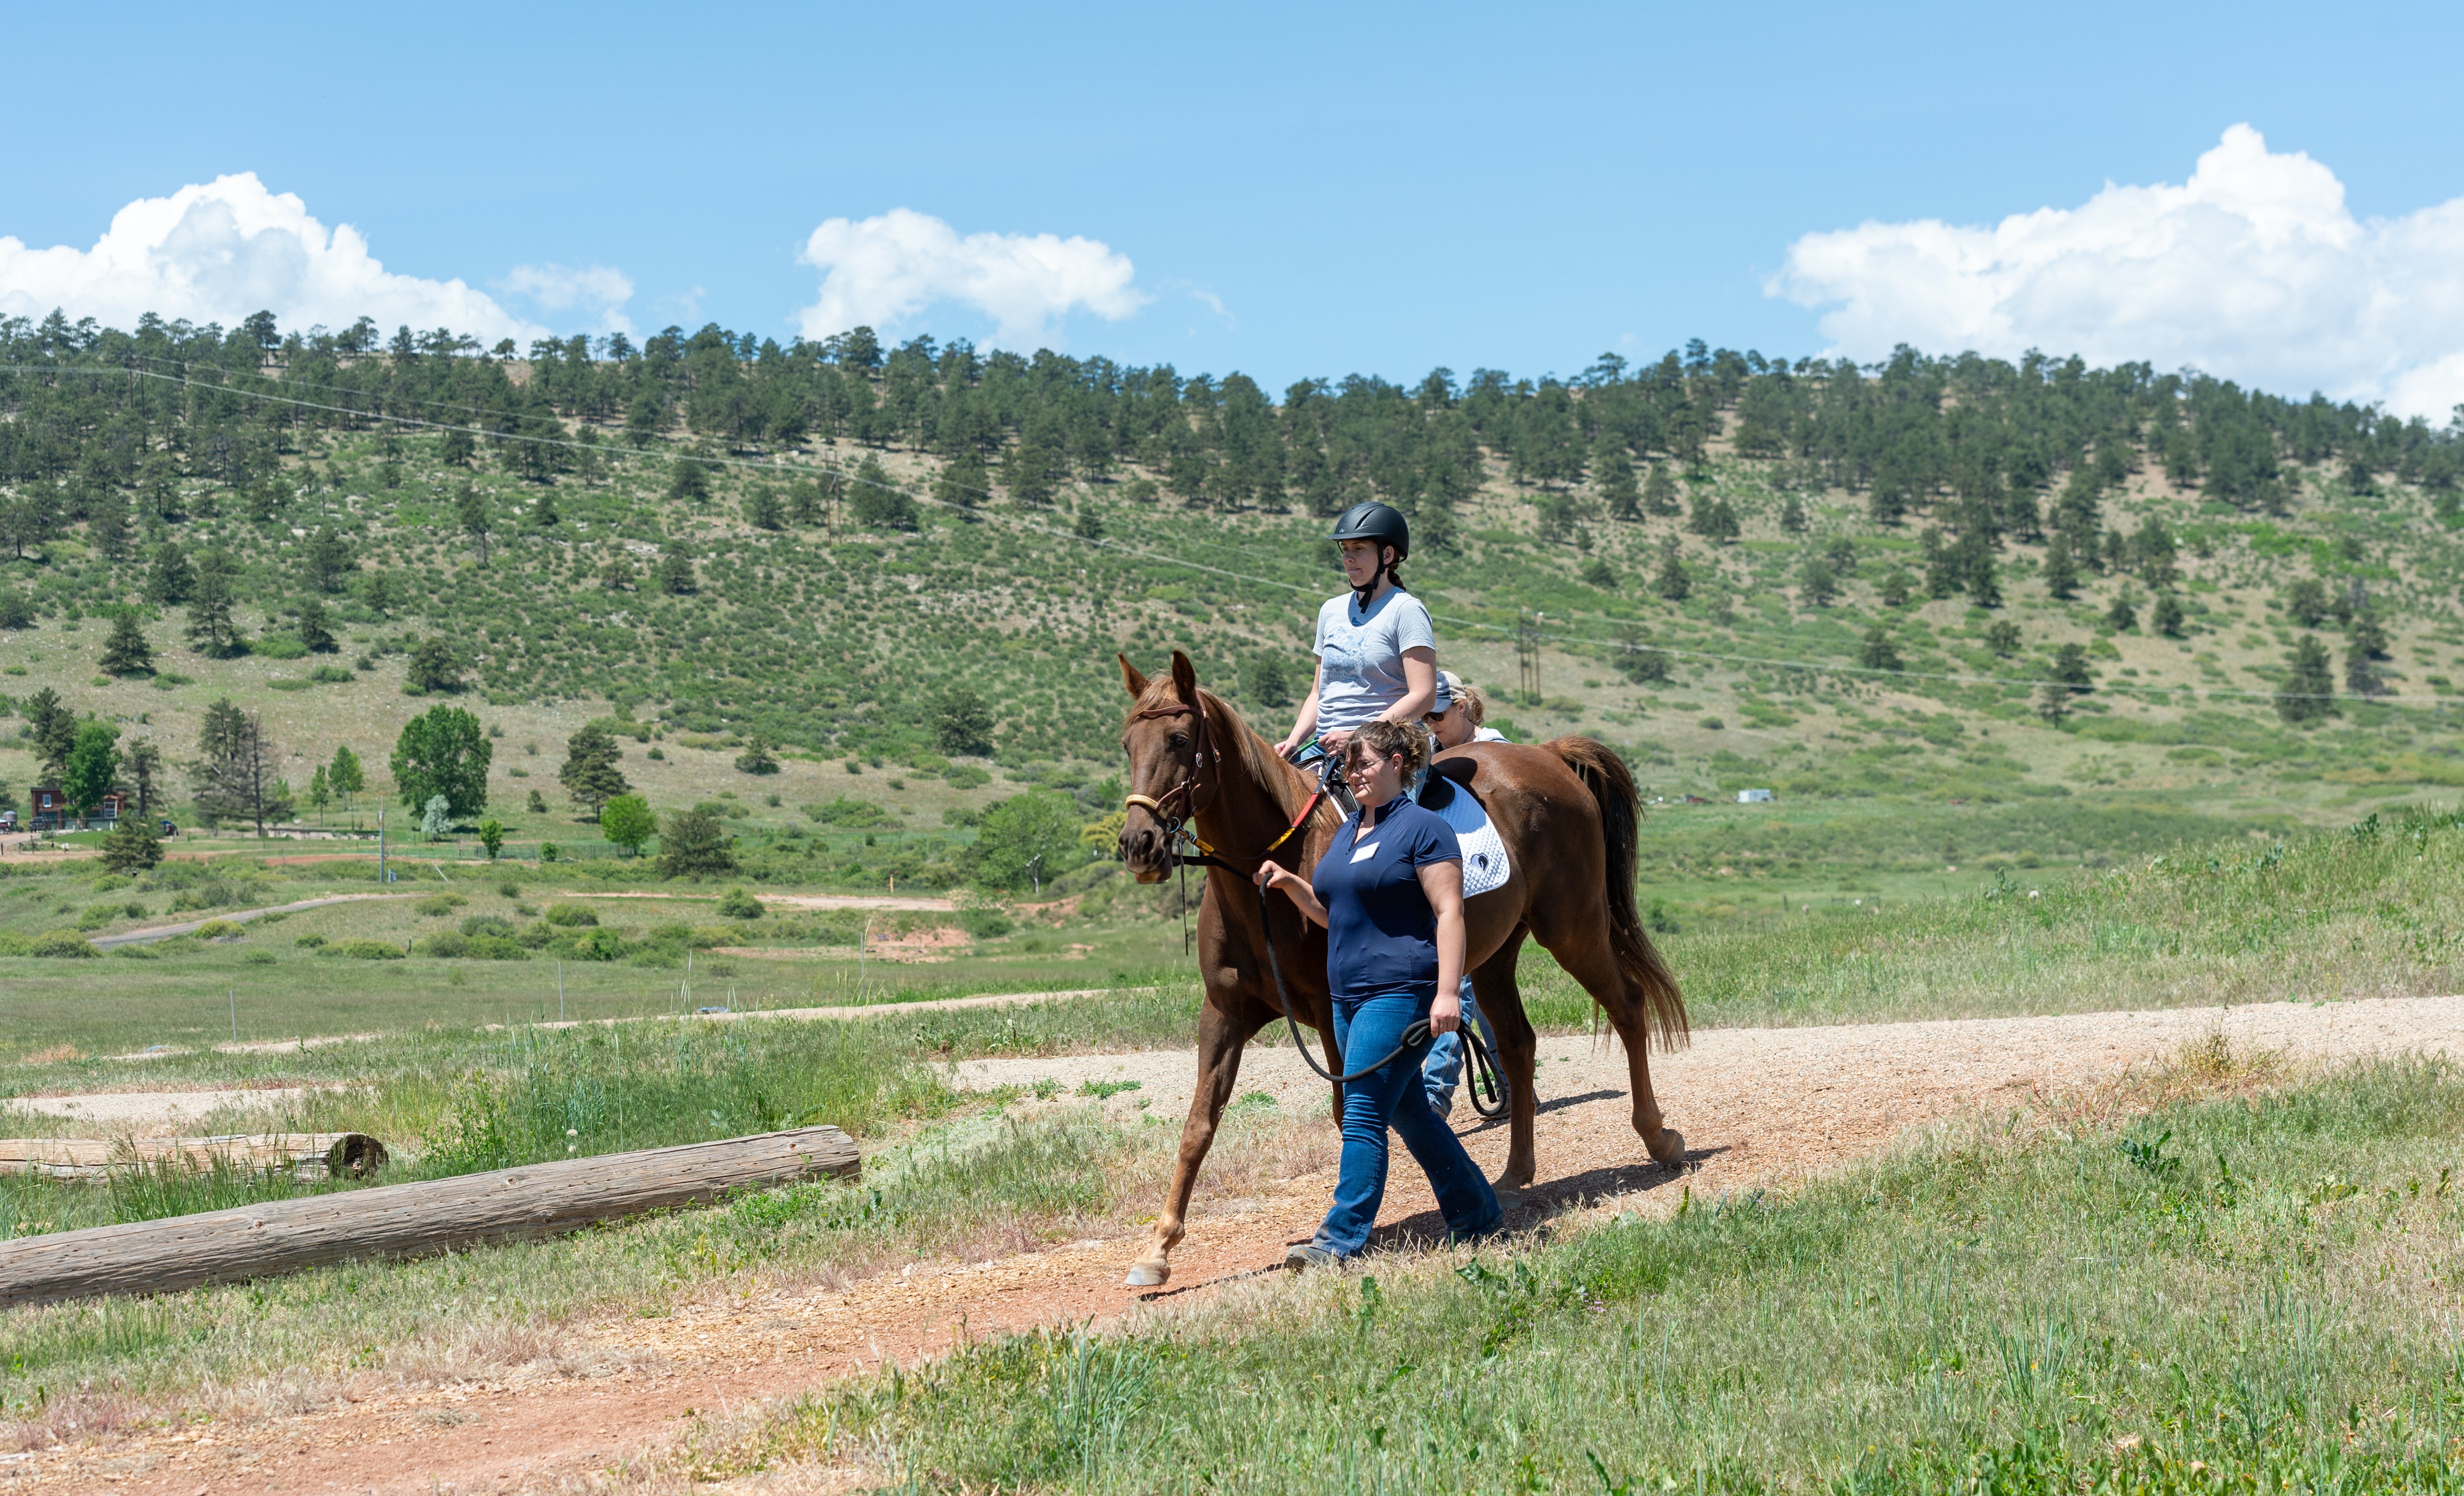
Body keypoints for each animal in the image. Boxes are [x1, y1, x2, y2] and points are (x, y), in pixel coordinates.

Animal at [1113, 650, 1688, 1287]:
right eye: (1126, 743)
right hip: (1494, 956)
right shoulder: (1223, 1015)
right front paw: (1158, 1248)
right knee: (1517, 1046)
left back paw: (1657, 1137)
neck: (1264, 880)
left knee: (1627, 1006)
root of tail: (1546, 754)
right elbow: (1198, 1126)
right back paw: (1514, 1176)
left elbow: (1348, 1111)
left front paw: (1346, 1228)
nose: (1138, 844)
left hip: (1572, 928)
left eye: (1179, 738)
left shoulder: (1332, 1013)